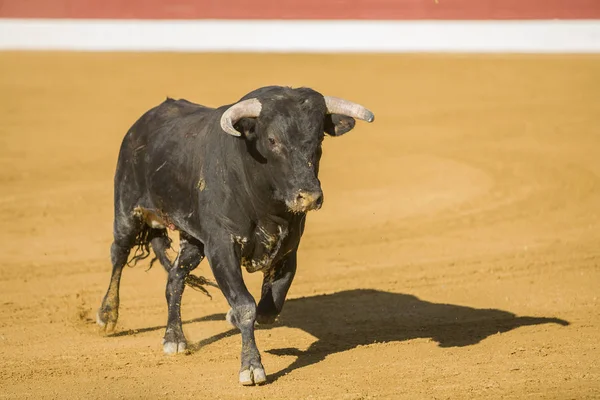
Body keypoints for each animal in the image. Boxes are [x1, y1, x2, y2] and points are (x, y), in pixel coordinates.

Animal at [96, 86, 372, 384]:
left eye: (319, 137)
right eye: (272, 139)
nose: (308, 196)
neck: (266, 205)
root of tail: (143, 123)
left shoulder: (288, 250)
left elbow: (269, 308)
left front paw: (234, 320)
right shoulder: (222, 247)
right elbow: (245, 305)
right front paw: (251, 368)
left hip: (193, 241)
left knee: (175, 278)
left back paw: (174, 338)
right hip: (126, 212)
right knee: (119, 255)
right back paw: (107, 316)